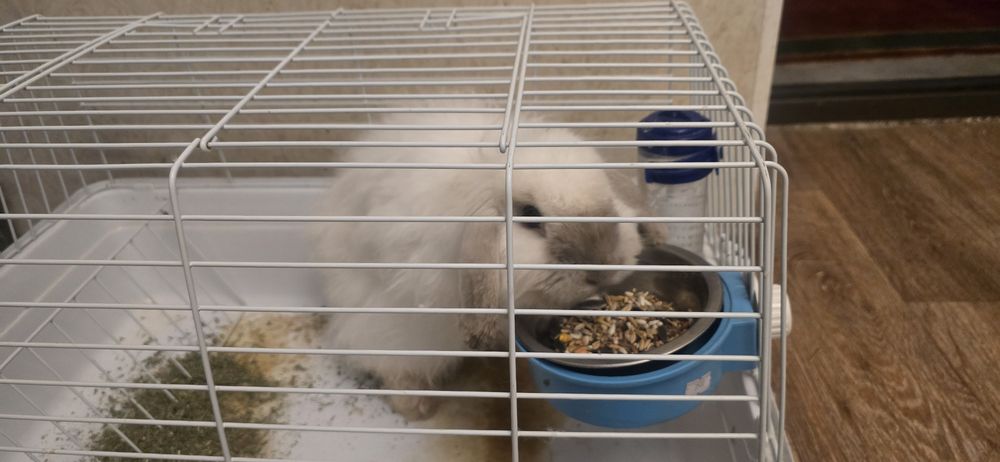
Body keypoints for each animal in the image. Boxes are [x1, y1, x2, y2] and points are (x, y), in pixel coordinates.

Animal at [313, 111, 665, 420]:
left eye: (610, 205)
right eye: (530, 215)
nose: (602, 271)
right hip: (383, 326)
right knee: (390, 363)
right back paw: (417, 407)